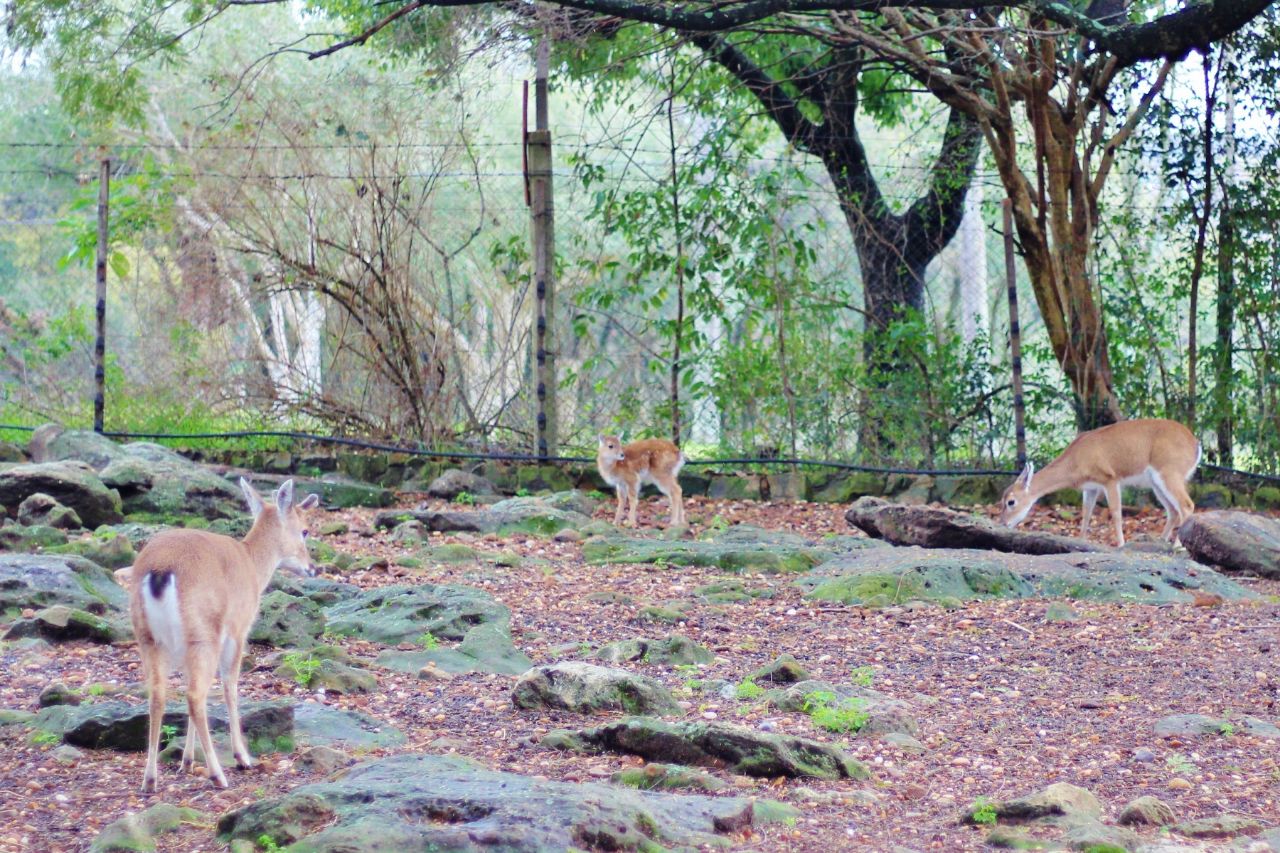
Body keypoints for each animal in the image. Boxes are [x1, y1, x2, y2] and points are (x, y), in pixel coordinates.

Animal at [128, 473, 318, 788]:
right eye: (304, 531)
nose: (313, 568)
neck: (253, 564)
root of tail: (159, 572)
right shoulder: (239, 629)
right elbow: (231, 686)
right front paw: (243, 757)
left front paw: (186, 761)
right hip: (204, 632)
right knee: (196, 695)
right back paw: (218, 774)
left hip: (149, 637)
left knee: (159, 693)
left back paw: (150, 779)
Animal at [998, 417, 1198, 545]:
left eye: (1011, 501)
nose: (1004, 523)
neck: (1076, 461)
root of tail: (1196, 445)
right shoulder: (1090, 487)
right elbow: (1086, 513)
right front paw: (1081, 541)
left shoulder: (1110, 478)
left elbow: (1116, 512)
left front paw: (1121, 544)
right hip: (1156, 482)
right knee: (1173, 510)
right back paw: (1161, 541)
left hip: (1170, 472)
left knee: (1187, 505)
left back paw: (1177, 546)